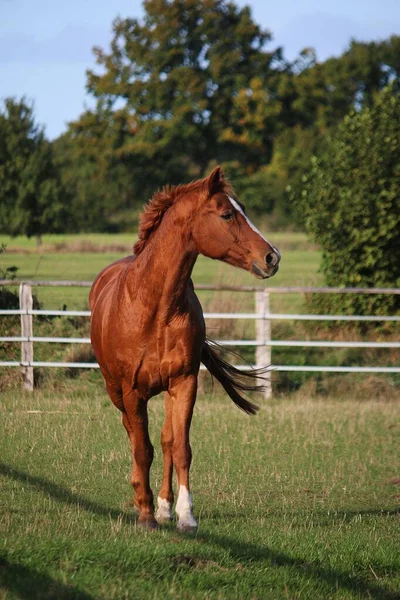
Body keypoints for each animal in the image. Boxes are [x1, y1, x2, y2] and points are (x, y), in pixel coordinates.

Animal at [89, 168, 280, 528]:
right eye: (227, 214)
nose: (272, 257)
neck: (155, 308)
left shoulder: (184, 382)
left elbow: (179, 448)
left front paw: (184, 514)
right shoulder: (132, 391)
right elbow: (142, 449)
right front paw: (145, 513)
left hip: (166, 390)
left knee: (165, 440)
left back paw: (164, 505)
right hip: (116, 391)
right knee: (133, 435)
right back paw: (141, 498)